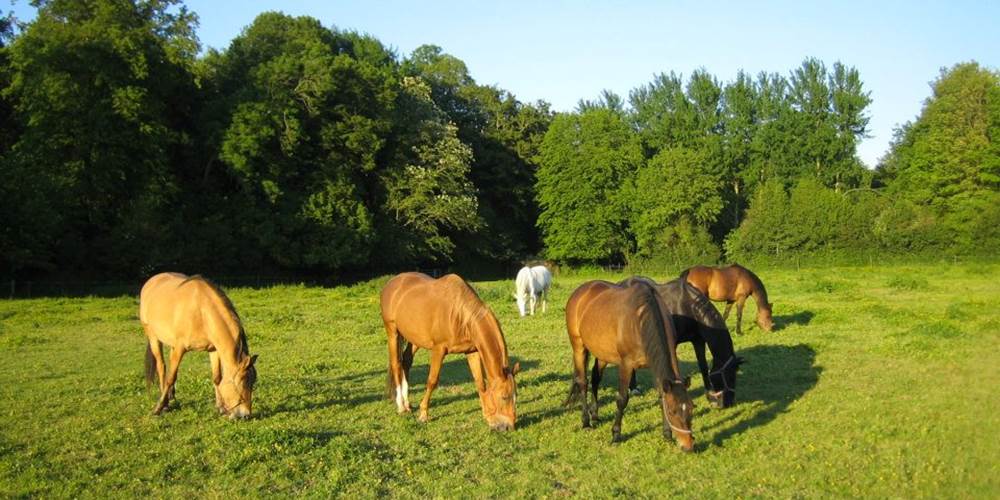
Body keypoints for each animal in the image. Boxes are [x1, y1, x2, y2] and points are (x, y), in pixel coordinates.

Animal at [139, 273, 258, 418]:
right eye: (243, 382)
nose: (246, 415)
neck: (201, 312)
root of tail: (151, 281)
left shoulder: (213, 349)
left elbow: (217, 378)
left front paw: (220, 408)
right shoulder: (180, 348)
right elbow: (170, 378)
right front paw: (159, 408)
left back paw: (171, 397)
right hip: (153, 337)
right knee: (162, 367)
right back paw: (165, 403)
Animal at [380, 272, 520, 431]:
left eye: (516, 395)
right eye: (504, 397)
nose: (509, 427)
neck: (460, 314)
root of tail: (391, 282)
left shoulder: (472, 351)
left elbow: (480, 382)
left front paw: (488, 416)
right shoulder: (438, 350)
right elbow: (432, 381)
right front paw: (423, 414)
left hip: (415, 338)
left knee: (406, 361)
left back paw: (407, 403)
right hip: (392, 332)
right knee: (396, 363)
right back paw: (401, 406)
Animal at [564, 279, 695, 450]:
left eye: (691, 408)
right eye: (673, 412)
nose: (688, 445)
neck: (641, 321)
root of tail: (580, 291)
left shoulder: (654, 366)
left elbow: (661, 397)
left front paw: (667, 434)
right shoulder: (626, 365)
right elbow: (622, 399)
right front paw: (616, 435)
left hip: (602, 353)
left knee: (595, 380)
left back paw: (595, 416)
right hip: (579, 347)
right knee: (583, 382)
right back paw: (586, 422)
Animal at [595, 277, 744, 408]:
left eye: (734, 375)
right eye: (729, 376)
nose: (729, 402)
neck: (687, 306)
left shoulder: (698, 340)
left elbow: (703, 366)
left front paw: (710, 397)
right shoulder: (672, 343)